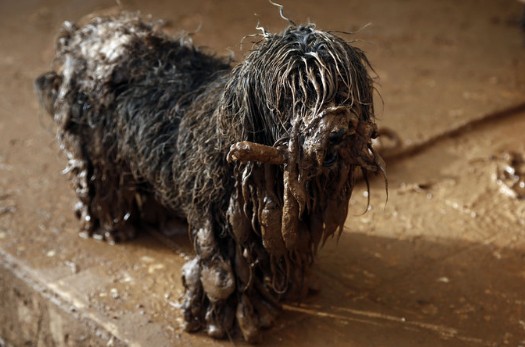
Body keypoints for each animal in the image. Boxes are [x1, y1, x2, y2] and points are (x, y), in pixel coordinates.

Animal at [34, 12, 382, 342]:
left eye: (341, 85)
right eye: (293, 93)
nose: (338, 133)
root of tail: (84, 33)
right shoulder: (218, 222)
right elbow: (223, 278)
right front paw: (229, 323)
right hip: (97, 152)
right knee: (102, 188)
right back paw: (111, 229)